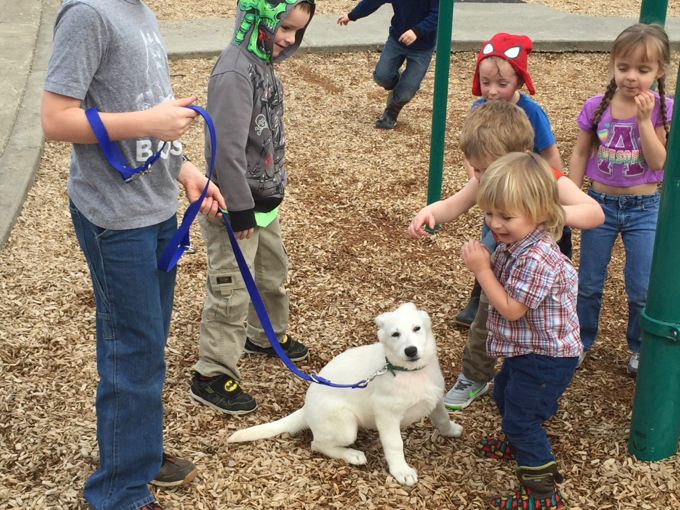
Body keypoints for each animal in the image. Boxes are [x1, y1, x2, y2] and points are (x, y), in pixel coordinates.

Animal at [228, 302, 462, 486]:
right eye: (395, 334)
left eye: (417, 328)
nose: (411, 351)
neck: (409, 372)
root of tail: (305, 409)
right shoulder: (387, 415)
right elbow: (395, 444)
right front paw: (401, 471)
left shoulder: (435, 400)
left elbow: (443, 418)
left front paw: (451, 430)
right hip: (347, 426)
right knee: (317, 444)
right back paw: (352, 455)